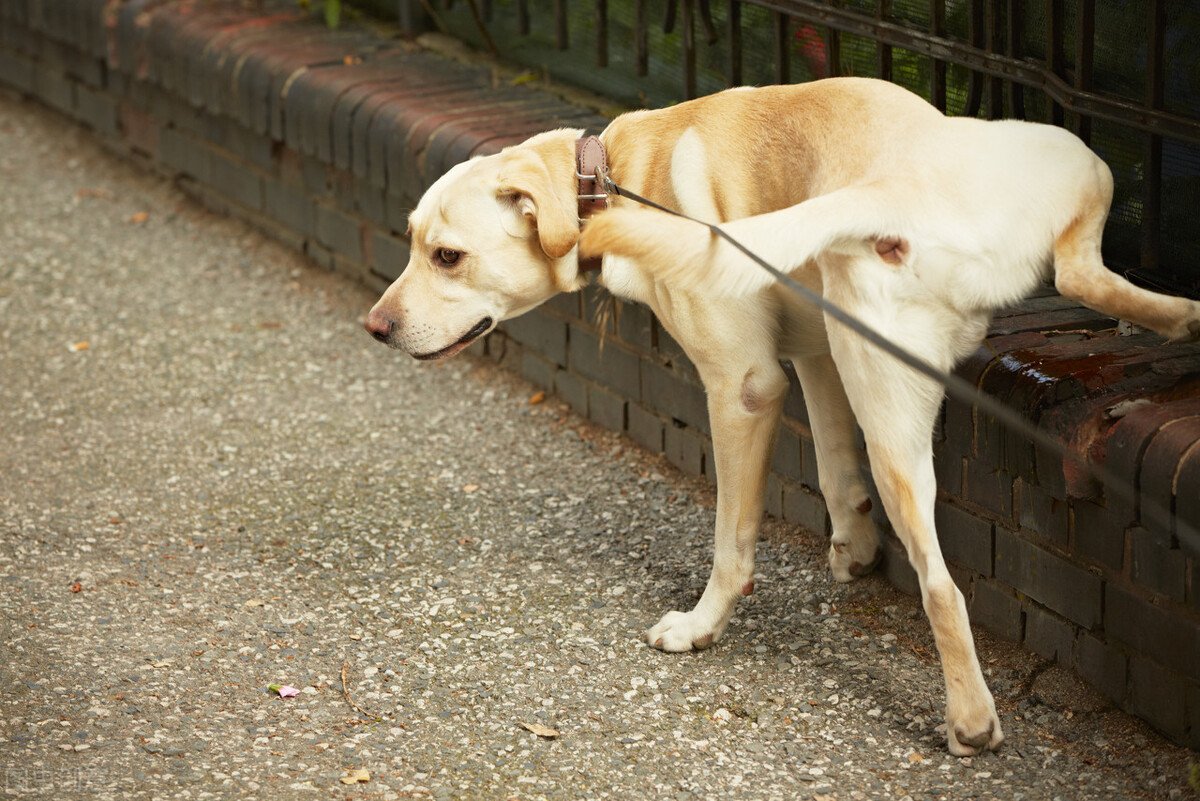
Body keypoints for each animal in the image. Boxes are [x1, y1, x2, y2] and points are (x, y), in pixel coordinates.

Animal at [364, 71, 1200, 753]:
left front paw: (703, 625)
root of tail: (892, 187)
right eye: (411, 241)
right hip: (1063, 171)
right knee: (1084, 275)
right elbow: (833, 465)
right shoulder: (819, 352)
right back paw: (1181, 316)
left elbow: (733, 542)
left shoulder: (746, 387)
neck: (618, 172)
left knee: (941, 586)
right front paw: (853, 544)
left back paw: (969, 721)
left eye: (447, 256)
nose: (375, 326)